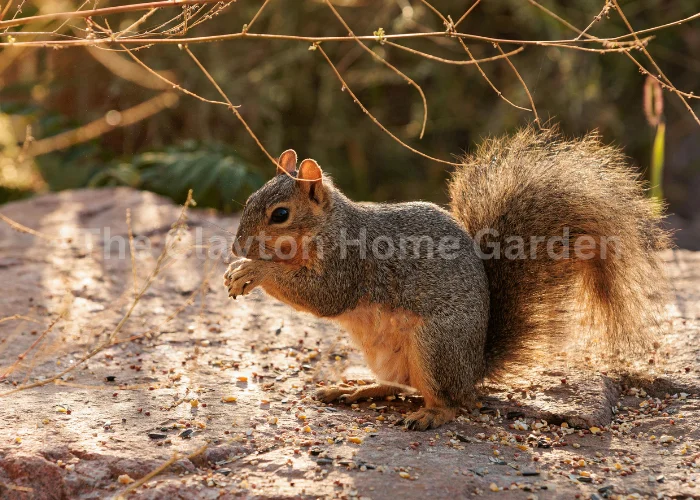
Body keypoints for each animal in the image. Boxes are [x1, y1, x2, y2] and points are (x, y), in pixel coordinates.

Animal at [224, 127, 670, 431]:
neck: (328, 226)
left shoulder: (348, 265)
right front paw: (239, 269)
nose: (235, 246)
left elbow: (324, 296)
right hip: (395, 357)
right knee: (400, 386)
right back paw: (355, 389)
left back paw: (430, 415)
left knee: (452, 402)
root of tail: (473, 370)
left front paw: (253, 270)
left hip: (435, 346)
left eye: (280, 214)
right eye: (249, 200)